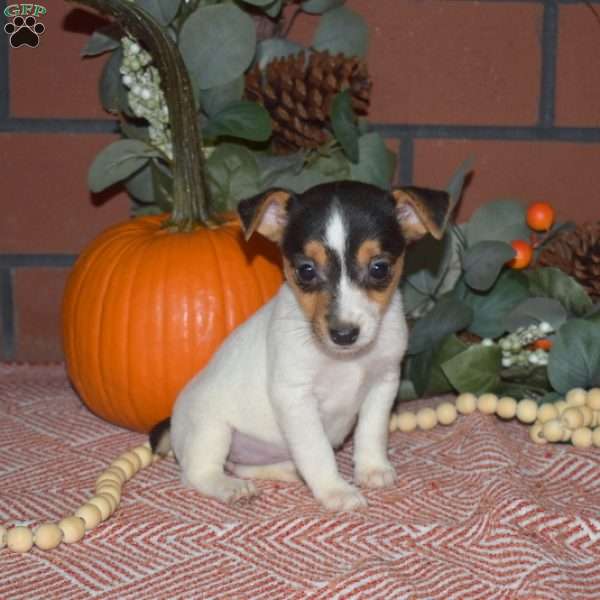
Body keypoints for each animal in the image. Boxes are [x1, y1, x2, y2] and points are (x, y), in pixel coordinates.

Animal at [150, 179, 450, 510]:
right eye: (306, 270)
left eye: (379, 268)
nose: (343, 334)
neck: (345, 360)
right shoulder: (296, 398)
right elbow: (316, 450)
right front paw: (335, 490)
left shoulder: (383, 383)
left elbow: (371, 432)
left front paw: (371, 468)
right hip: (211, 429)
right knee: (198, 473)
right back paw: (230, 488)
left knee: (243, 465)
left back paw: (287, 470)